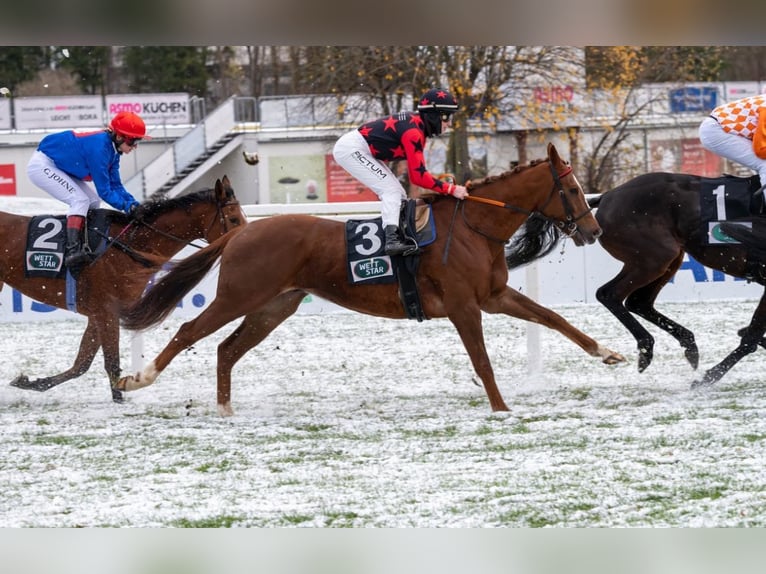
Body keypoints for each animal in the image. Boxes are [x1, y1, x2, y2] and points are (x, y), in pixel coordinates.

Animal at [7, 178, 248, 402]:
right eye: (234, 219)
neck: (130, 245)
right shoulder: (107, 311)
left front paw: (31, 383)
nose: (244, 240)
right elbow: (111, 362)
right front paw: (119, 398)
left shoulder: (99, 314)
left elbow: (82, 363)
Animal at [117, 142, 628, 416]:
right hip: (239, 296)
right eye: (573, 188)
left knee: (226, 348)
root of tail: (242, 230)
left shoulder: (494, 295)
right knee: (188, 332)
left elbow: (553, 318)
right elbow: (482, 361)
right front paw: (501, 409)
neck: (473, 226)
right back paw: (136, 379)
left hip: (274, 306)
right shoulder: (464, 306)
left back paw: (225, 408)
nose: (594, 231)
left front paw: (608, 353)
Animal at [584, 174, 766, 392]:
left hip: (668, 258)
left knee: (638, 302)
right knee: (609, 294)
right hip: (656, 257)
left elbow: (752, 333)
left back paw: (688, 345)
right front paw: (708, 378)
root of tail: (607, 196)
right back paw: (647, 348)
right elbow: (751, 338)